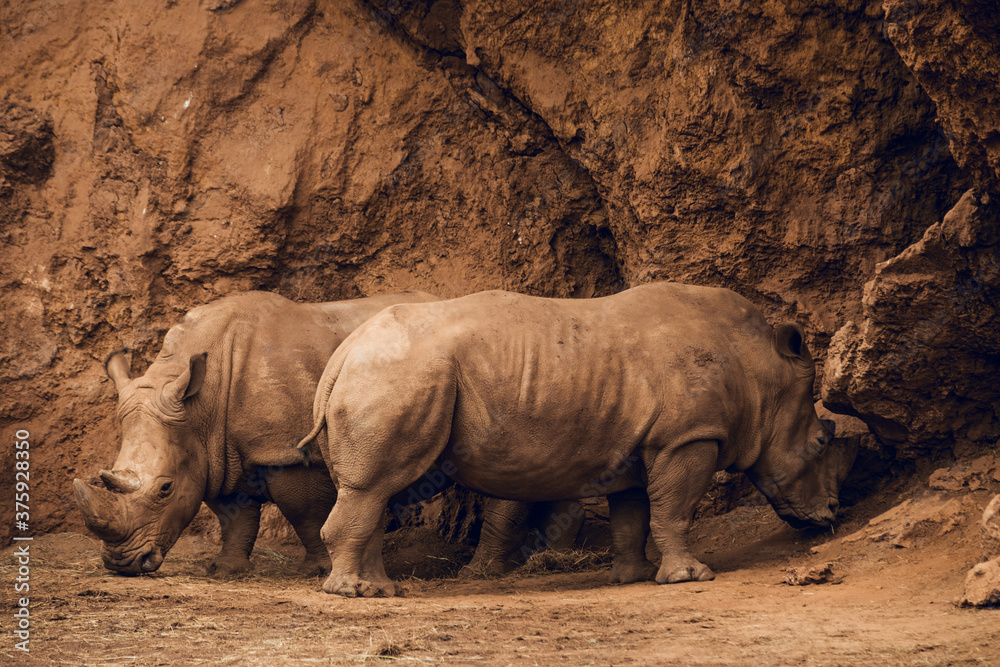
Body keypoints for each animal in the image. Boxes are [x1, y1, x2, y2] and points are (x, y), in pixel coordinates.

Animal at [73, 290, 438, 576]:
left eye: (166, 489)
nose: (122, 564)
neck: (200, 406)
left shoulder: (290, 451)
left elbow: (304, 511)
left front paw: (318, 570)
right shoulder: (213, 449)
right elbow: (232, 515)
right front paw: (226, 570)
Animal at [295, 282, 856, 597]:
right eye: (820, 443)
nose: (830, 513)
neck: (758, 368)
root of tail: (342, 356)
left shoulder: (640, 447)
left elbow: (635, 513)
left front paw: (632, 577)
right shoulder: (687, 438)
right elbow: (675, 508)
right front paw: (692, 577)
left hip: (387, 376)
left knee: (378, 491)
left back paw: (379, 591)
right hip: (397, 377)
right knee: (374, 487)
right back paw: (352, 593)